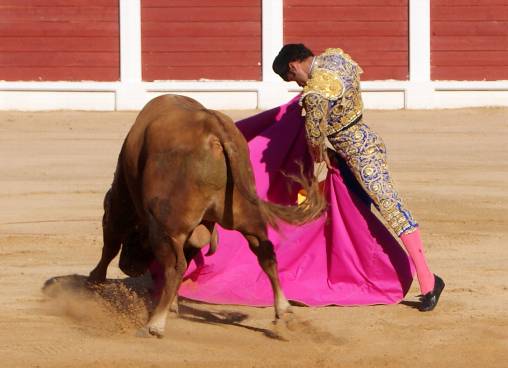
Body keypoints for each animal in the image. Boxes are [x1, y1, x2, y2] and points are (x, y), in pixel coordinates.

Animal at [87, 94, 324, 336]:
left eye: (134, 237)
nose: (128, 267)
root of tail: (215, 131)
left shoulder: (122, 203)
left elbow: (111, 241)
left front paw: (94, 280)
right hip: (244, 214)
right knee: (265, 252)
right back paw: (283, 310)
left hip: (166, 226)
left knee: (175, 266)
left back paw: (155, 324)